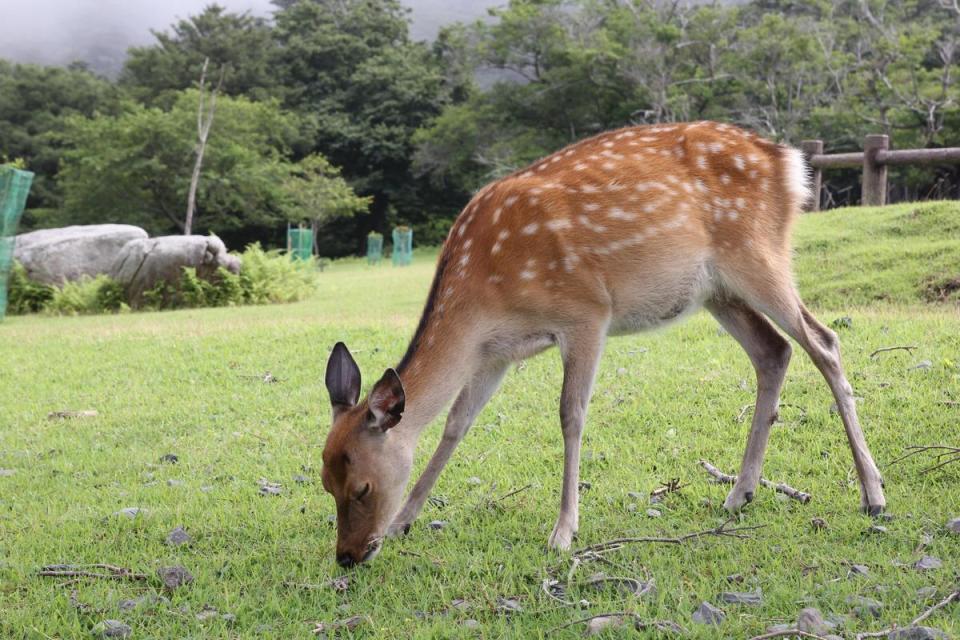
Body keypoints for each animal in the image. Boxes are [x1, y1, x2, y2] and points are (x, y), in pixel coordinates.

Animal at [320, 122, 884, 568]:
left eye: (362, 487)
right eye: (326, 483)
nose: (347, 556)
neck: (484, 293)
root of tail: (789, 162)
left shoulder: (586, 312)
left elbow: (571, 415)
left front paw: (563, 532)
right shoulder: (495, 352)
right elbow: (457, 424)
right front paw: (404, 521)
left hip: (758, 254)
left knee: (824, 341)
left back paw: (873, 494)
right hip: (717, 291)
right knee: (773, 351)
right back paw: (739, 495)